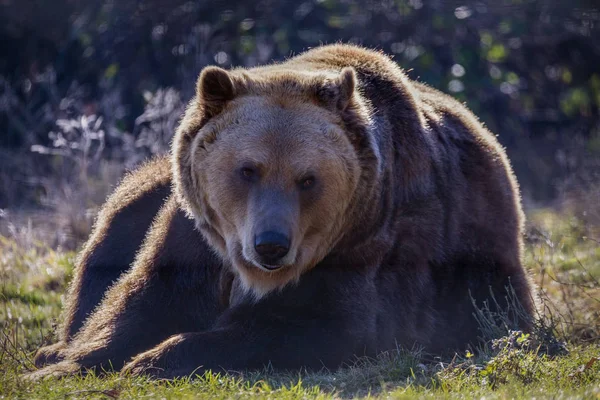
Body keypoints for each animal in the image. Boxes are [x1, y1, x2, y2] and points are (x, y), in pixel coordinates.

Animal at [28, 44, 536, 382]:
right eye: (248, 169)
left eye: (307, 179)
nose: (270, 245)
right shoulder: (195, 237)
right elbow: (138, 299)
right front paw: (70, 364)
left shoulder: (366, 247)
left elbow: (316, 326)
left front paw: (154, 358)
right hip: (145, 191)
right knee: (108, 241)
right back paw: (49, 350)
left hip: (486, 271)